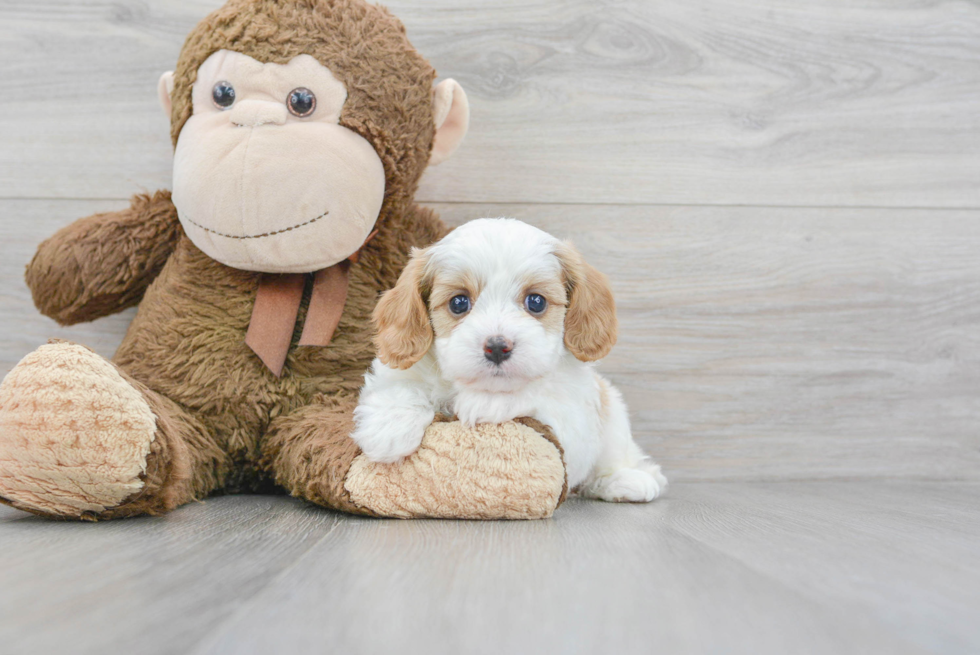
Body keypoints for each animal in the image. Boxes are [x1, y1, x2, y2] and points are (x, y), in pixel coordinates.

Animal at [350, 219, 668, 502]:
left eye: (536, 302)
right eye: (458, 303)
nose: (497, 347)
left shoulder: (573, 420)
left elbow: (536, 395)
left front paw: (486, 402)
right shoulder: (399, 372)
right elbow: (400, 387)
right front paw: (388, 429)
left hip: (613, 415)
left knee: (619, 458)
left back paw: (627, 480)